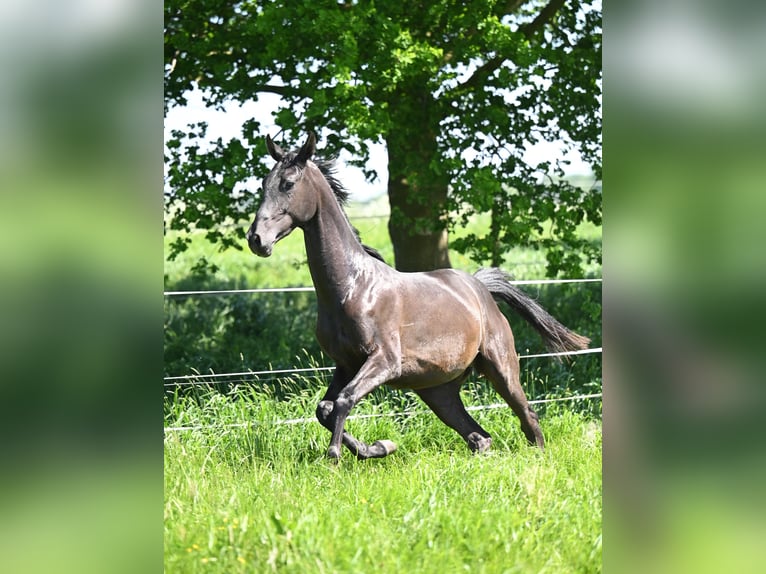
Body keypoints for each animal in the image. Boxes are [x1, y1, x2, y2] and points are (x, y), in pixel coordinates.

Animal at [249, 133, 592, 462]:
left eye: (288, 183)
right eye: (264, 183)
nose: (256, 239)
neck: (352, 287)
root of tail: (479, 287)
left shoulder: (383, 361)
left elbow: (343, 402)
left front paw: (338, 455)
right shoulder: (346, 365)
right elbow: (324, 410)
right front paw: (377, 448)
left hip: (501, 368)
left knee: (528, 417)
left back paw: (538, 459)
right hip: (437, 391)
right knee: (479, 437)